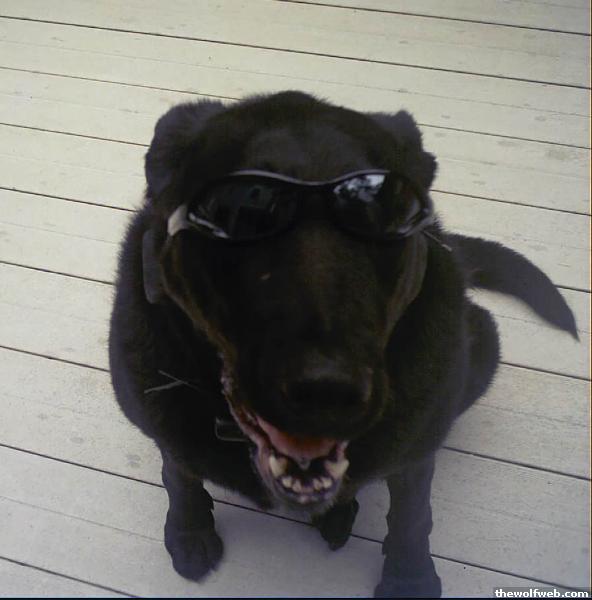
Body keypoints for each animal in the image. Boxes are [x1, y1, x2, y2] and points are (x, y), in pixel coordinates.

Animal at [109, 91, 577, 598]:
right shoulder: (161, 424)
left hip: (482, 345)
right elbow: (179, 475)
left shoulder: (416, 450)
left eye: (385, 213)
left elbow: (413, 516)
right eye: (239, 212)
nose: (326, 389)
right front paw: (189, 531)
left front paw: (409, 577)